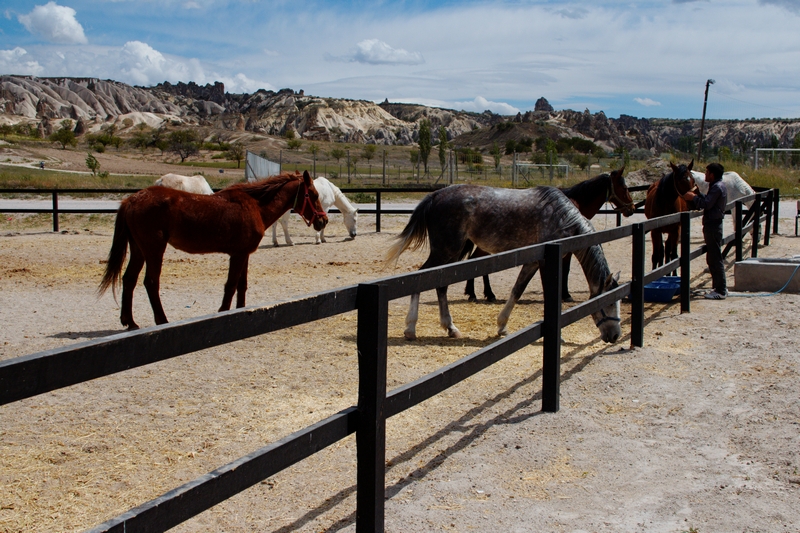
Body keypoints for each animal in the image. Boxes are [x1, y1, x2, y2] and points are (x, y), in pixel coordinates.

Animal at [99, 170, 328, 328]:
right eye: (313, 194)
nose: (323, 221)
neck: (256, 206)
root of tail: (131, 199)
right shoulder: (237, 255)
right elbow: (231, 286)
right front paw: (223, 312)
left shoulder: (244, 254)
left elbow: (241, 286)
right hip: (154, 249)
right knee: (151, 283)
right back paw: (162, 321)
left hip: (139, 249)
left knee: (129, 280)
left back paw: (130, 322)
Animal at [388, 185, 624, 342]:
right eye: (608, 303)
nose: (615, 336)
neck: (562, 218)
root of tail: (435, 195)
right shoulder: (547, 262)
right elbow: (548, 294)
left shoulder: (533, 261)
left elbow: (517, 290)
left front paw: (502, 326)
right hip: (445, 250)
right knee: (421, 277)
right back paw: (410, 329)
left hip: (452, 254)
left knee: (441, 285)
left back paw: (450, 328)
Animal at [466, 168, 636, 306]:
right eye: (625, 188)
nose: (633, 208)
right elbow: (565, 270)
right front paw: (565, 295)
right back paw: (481, 294)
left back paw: (480, 294)